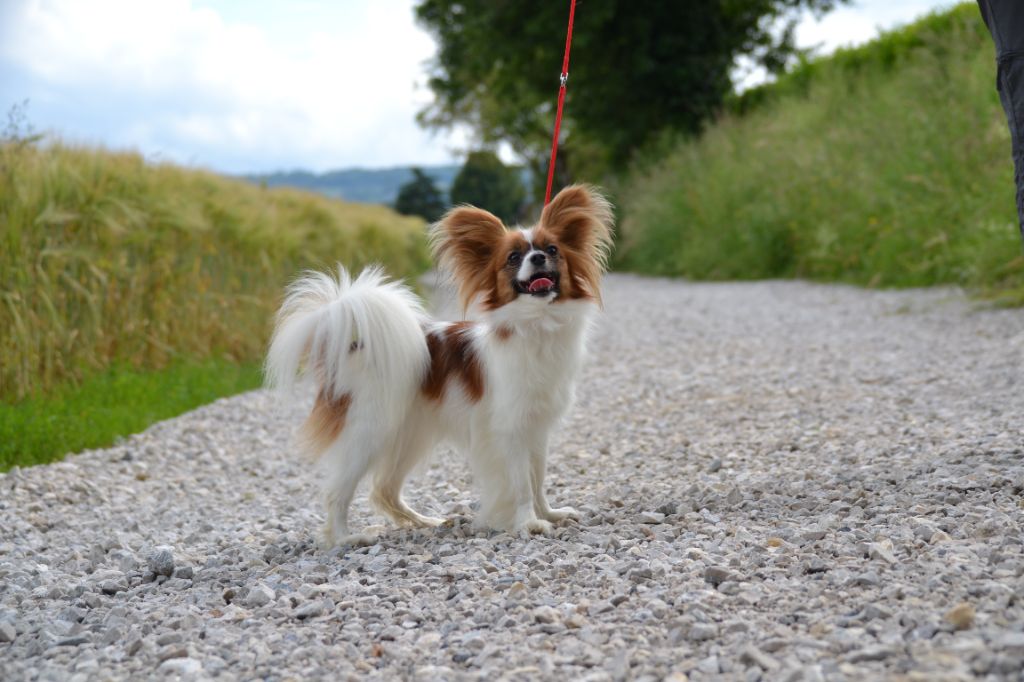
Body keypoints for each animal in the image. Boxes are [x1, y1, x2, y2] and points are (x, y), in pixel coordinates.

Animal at [266, 183, 614, 544]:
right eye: (513, 257)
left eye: (552, 249)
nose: (538, 257)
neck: (537, 325)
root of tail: (351, 346)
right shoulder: (509, 431)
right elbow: (520, 484)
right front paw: (528, 523)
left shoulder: (537, 428)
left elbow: (538, 479)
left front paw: (549, 514)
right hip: (367, 433)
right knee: (338, 492)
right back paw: (345, 538)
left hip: (407, 436)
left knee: (383, 489)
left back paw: (421, 522)